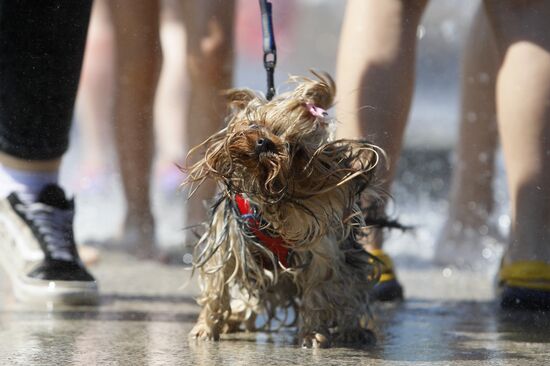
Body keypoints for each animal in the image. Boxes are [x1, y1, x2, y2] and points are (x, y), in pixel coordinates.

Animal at [185, 72, 384, 348]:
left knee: (350, 291)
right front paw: (205, 328)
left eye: (295, 148)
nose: (264, 143)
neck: (268, 199)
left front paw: (312, 334)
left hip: (350, 265)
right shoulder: (226, 241)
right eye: (257, 124)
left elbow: (318, 292)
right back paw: (234, 318)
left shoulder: (321, 250)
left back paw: (353, 330)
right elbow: (217, 286)